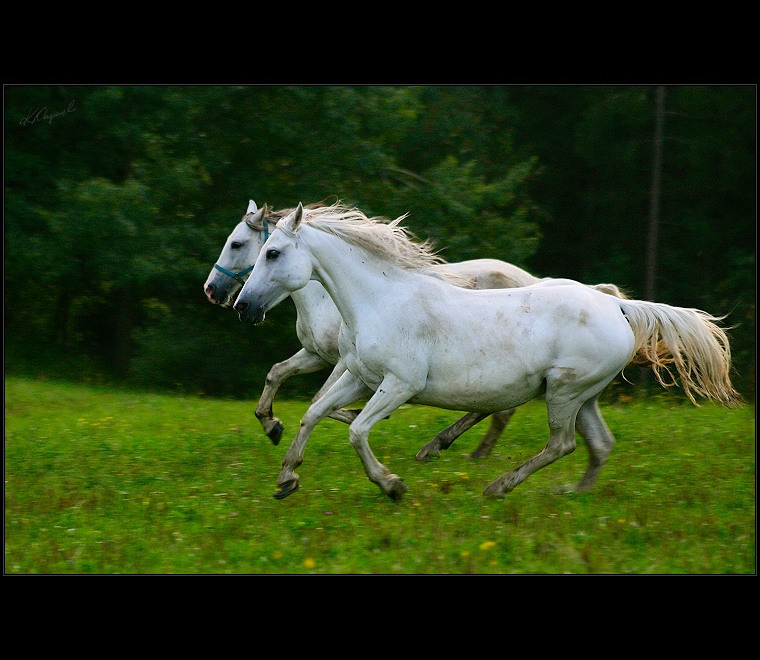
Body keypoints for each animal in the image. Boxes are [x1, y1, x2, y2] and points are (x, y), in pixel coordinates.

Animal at [235, 202, 740, 500]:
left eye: (272, 252)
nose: (242, 306)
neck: (380, 299)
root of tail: (615, 304)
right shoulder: (360, 377)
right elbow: (314, 414)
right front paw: (286, 477)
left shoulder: (398, 386)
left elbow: (356, 431)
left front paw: (392, 485)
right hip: (585, 396)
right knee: (599, 445)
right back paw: (570, 495)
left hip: (563, 392)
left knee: (561, 443)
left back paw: (497, 487)